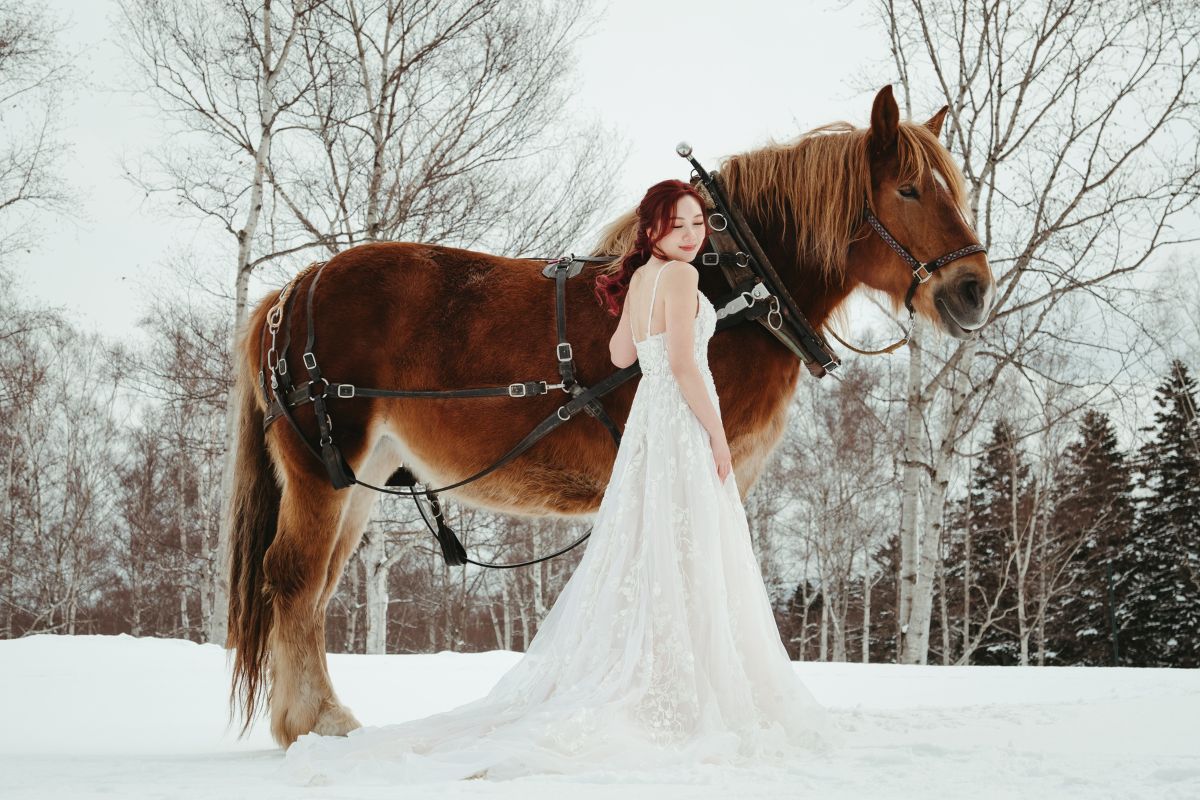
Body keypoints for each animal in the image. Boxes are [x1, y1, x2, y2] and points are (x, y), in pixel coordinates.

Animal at [225, 84, 993, 748]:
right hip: (323, 467)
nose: (973, 290)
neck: (735, 285)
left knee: (317, 588)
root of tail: (292, 292)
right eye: (908, 188)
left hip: (363, 474)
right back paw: (312, 723)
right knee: (292, 577)